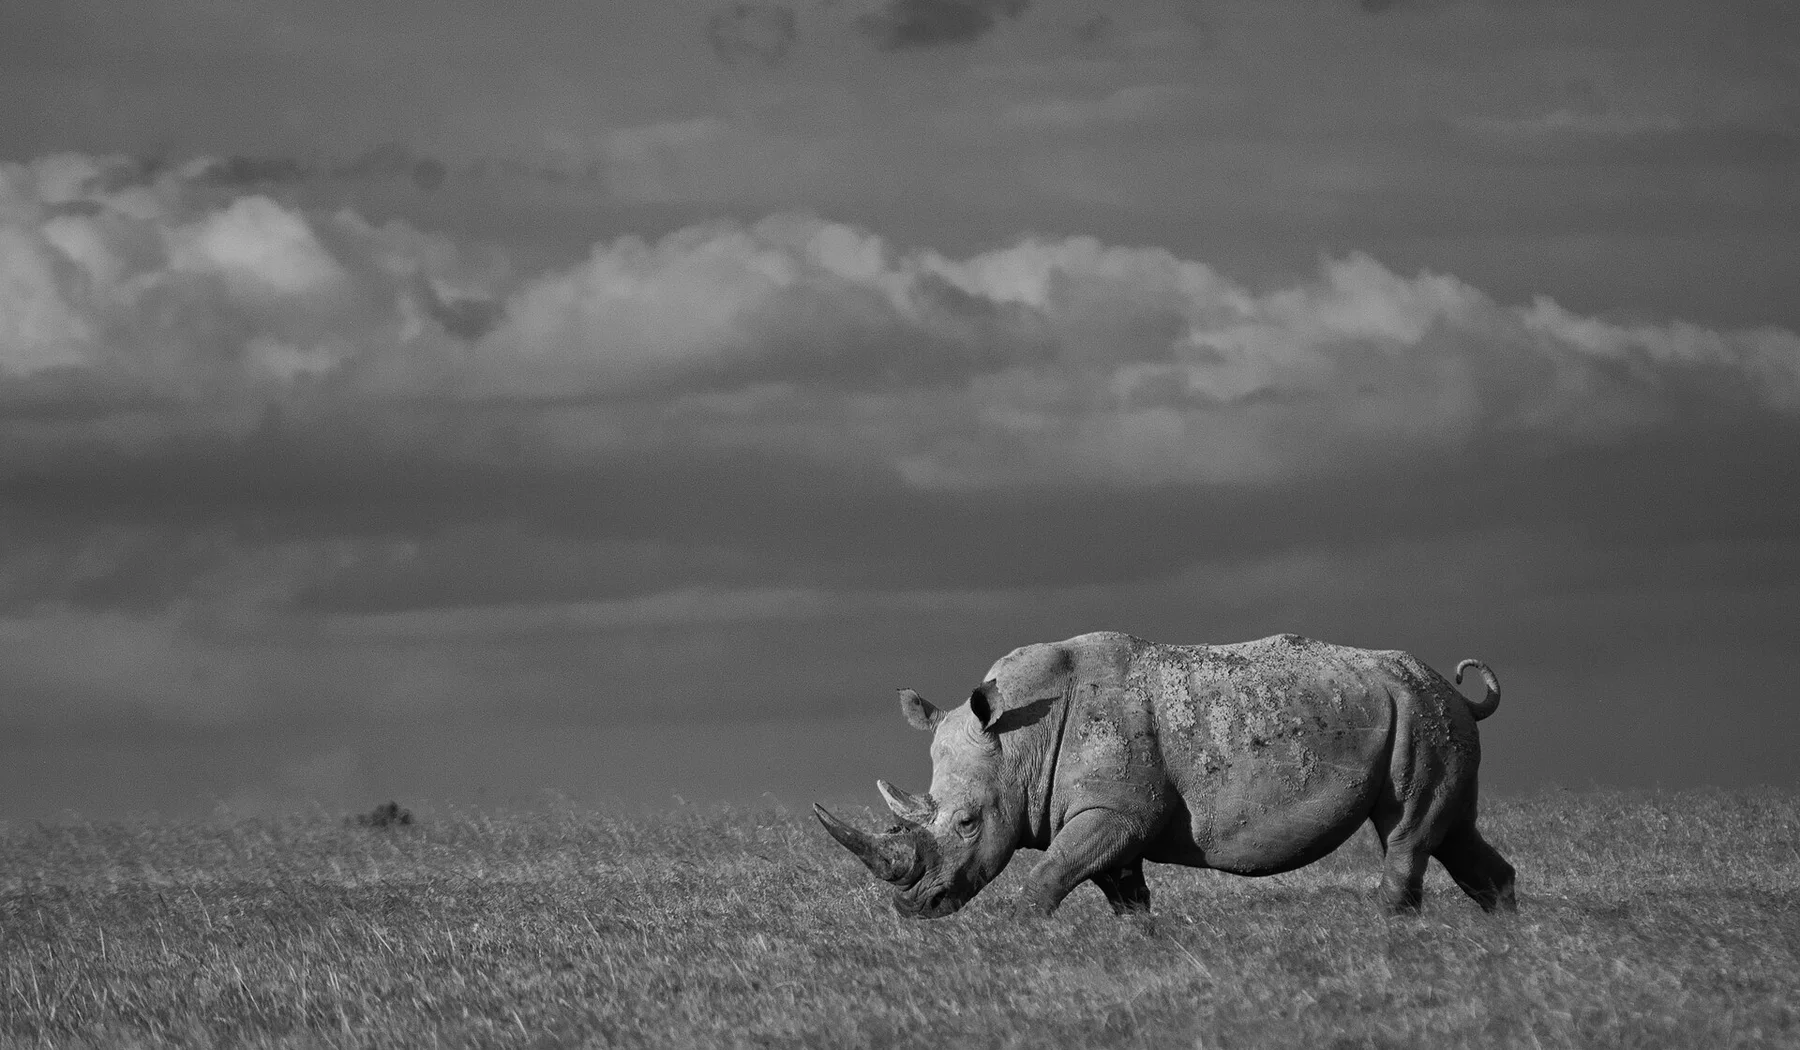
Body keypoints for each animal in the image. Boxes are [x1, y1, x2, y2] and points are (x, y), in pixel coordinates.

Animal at [814, 631, 1515, 919]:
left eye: (965, 822)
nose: (913, 908)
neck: (1019, 740)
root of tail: (1449, 688)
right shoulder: (1115, 816)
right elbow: (1122, 890)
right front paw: (1138, 943)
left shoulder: (1119, 811)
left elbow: (1048, 875)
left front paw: (1026, 933)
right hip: (1421, 712)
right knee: (1453, 834)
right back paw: (1503, 935)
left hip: (1419, 712)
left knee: (1407, 834)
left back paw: (1393, 934)